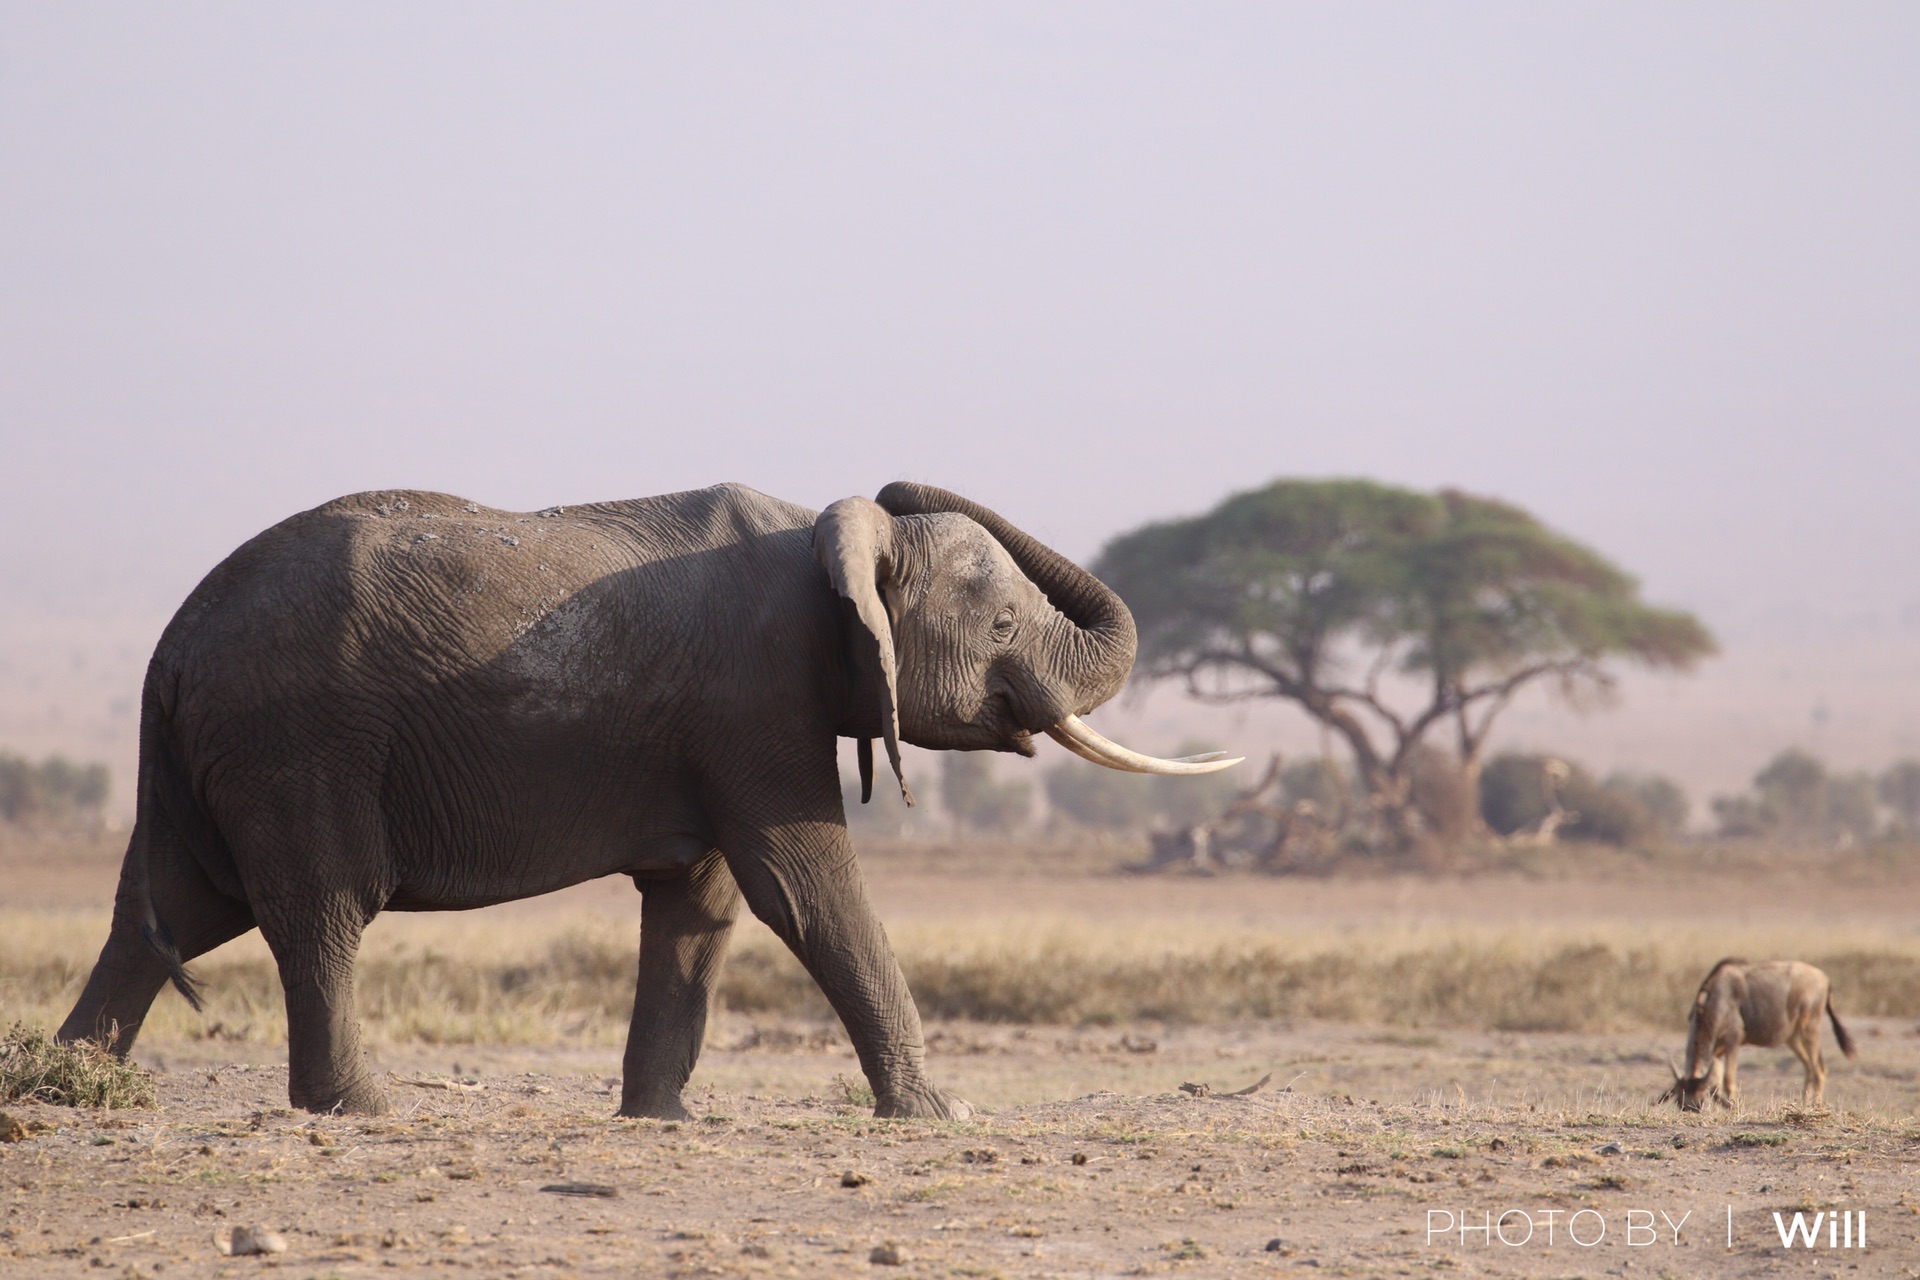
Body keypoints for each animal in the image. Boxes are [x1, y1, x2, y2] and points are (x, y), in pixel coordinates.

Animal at [60, 483, 1236, 1120]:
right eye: (998, 628)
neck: (832, 538)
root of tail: (172, 641)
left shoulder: (718, 730)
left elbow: (701, 903)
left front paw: (660, 1116)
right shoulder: (758, 698)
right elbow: (803, 884)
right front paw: (939, 1114)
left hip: (231, 755)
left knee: (169, 913)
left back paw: (67, 1083)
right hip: (294, 744)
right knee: (319, 910)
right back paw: (355, 1109)